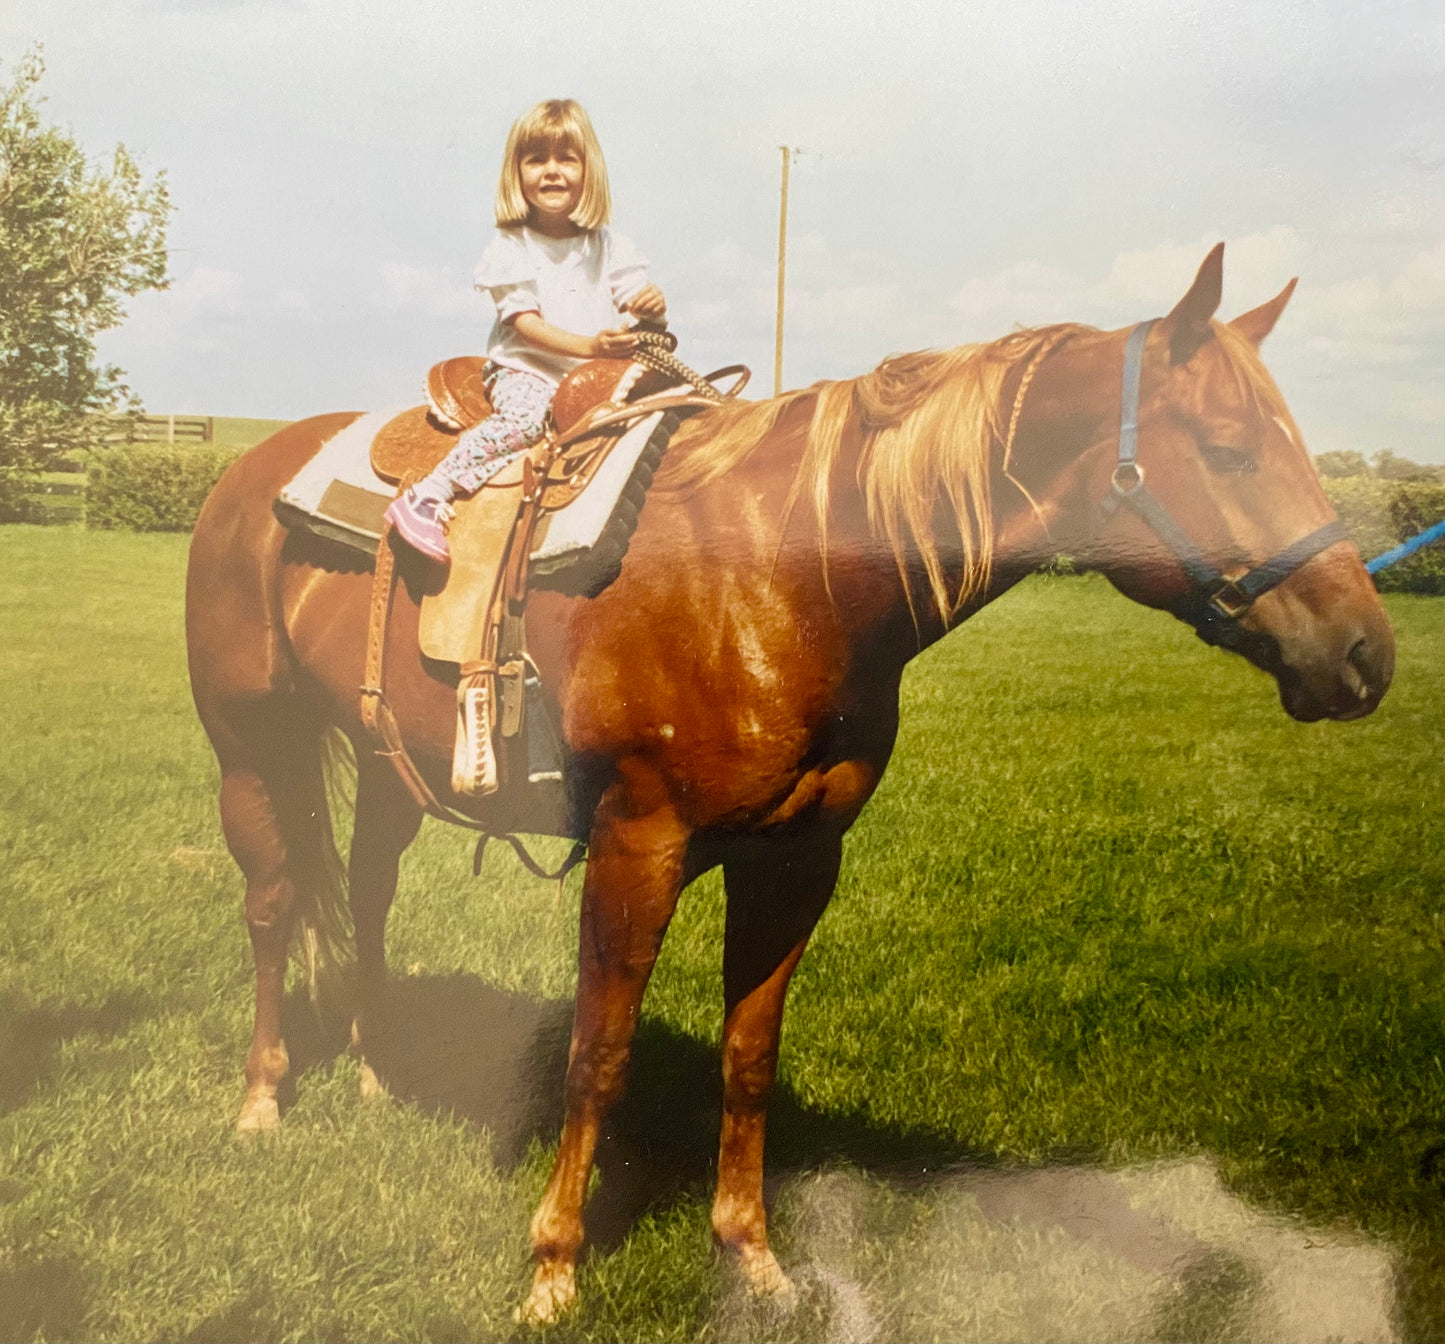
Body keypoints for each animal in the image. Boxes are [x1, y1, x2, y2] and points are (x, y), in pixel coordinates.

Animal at [183, 244, 1387, 1317]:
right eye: (1229, 453)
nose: (1364, 654)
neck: (780, 574)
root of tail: (248, 473)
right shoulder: (636, 843)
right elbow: (597, 1056)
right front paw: (552, 1268)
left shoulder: (797, 859)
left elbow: (749, 1057)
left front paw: (752, 1257)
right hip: (251, 752)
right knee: (274, 906)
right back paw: (263, 1097)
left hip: (391, 768)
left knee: (367, 894)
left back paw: (375, 1073)